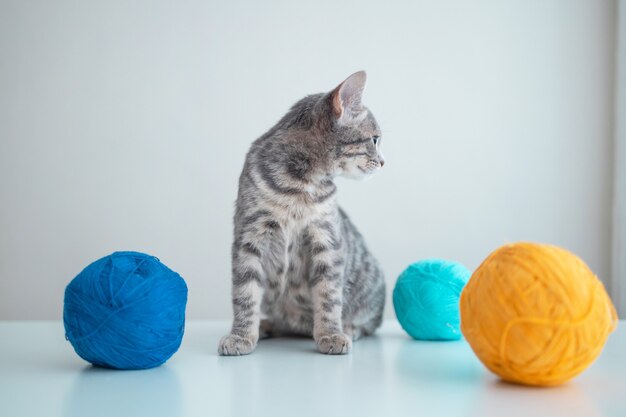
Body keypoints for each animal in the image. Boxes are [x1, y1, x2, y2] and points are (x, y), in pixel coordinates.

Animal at [219, 70, 386, 354]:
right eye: (374, 139)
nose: (384, 162)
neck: (300, 185)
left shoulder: (326, 237)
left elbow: (329, 295)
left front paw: (331, 334)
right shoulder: (249, 236)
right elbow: (245, 293)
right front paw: (240, 335)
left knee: (369, 322)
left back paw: (348, 328)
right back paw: (267, 324)